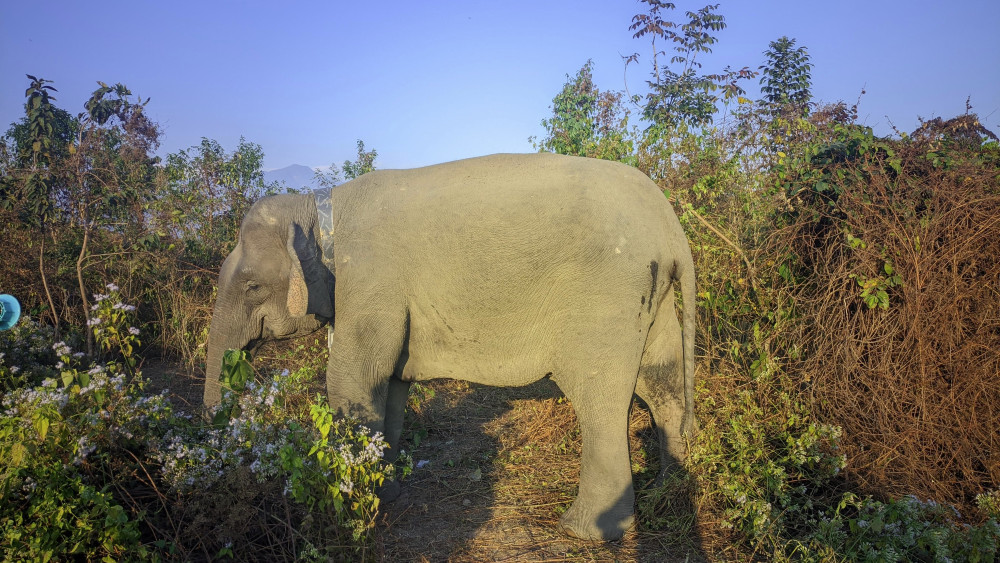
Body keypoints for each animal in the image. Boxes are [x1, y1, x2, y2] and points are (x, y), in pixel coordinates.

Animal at [203, 153, 696, 541]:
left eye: (251, 286)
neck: (317, 203)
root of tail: (672, 230)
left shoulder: (369, 281)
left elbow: (352, 380)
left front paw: (359, 511)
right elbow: (391, 385)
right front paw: (389, 495)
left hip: (606, 293)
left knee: (599, 400)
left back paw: (585, 532)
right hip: (653, 297)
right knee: (661, 384)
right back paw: (669, 492)